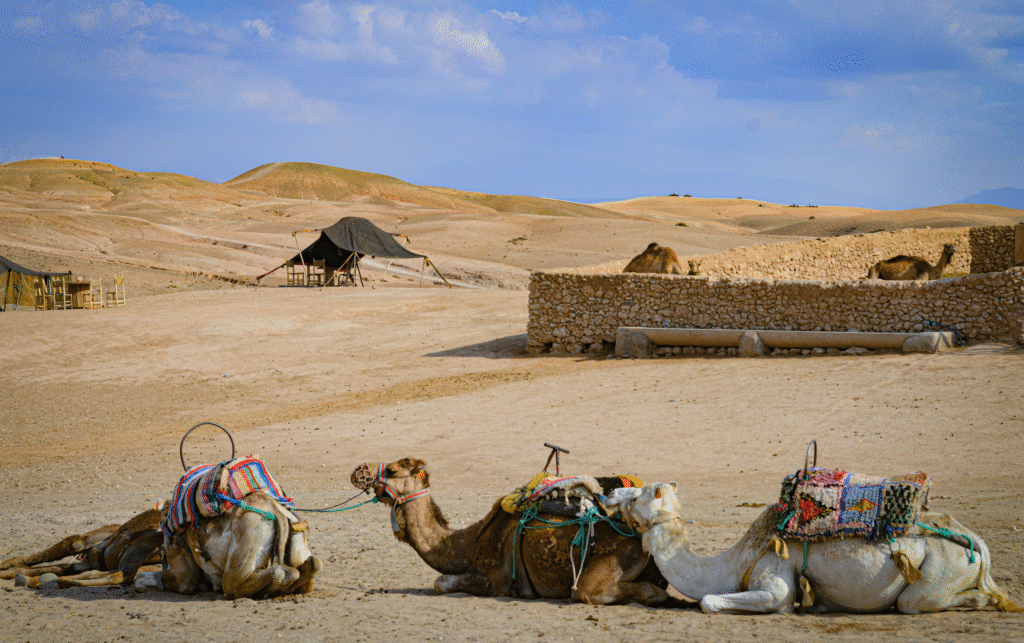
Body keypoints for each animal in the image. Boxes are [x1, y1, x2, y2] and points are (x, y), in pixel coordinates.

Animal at [134, 492, 321, 599]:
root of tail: (275, 510)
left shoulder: (183, 574)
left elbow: (145, 578)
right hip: (297, 532)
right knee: (311, 565)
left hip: (244, 547)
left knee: (237, 584)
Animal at [365, 458, 672, 605]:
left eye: (392, 471)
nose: (361, 473)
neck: (468, 543)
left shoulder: (494, 579)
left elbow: (440, 582)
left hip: (615, 557)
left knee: (590, 592)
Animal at [606, 482, 1021, 614]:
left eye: (639, 494)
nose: (611, 492)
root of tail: (977, 543)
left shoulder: (775, 575)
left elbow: (710, 601)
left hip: (939, 568)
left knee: (915, 601)